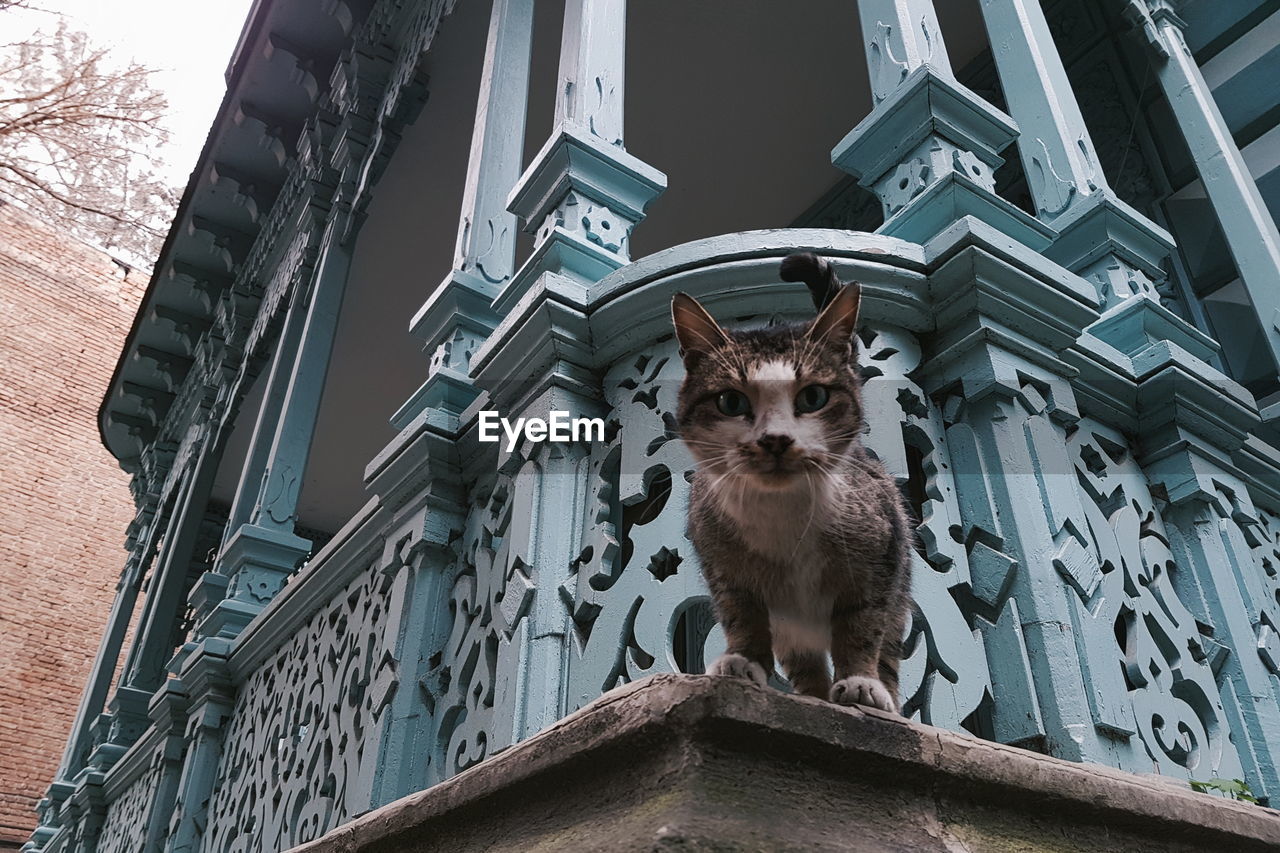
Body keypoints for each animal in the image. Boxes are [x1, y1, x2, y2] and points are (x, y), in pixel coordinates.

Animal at [670, 252, 911, 712]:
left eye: (813, 397)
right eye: (731, 401)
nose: (776, 440)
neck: (782, 513)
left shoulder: (878, 560)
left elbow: (862, 626)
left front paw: (861, 682)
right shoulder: (723, 566)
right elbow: (742, 616)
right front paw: (743, 661)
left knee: (888, 646)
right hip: (791, 632)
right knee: (804, 662)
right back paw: (812, 694)